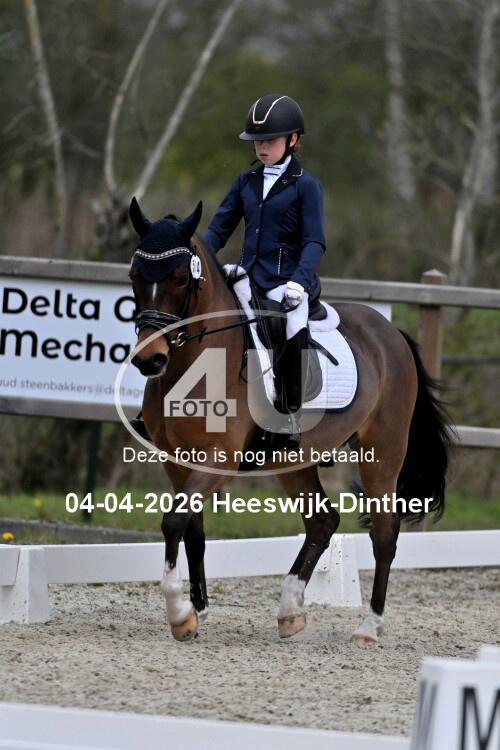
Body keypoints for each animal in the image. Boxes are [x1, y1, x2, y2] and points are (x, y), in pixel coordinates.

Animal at [128, 197, 452, 645]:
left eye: (179, 278)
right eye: (135, 276)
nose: (150, 359)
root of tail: (390, 333)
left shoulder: (217, 459)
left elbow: (174, 520)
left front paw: (179, 614)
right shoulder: (176, 461)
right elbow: (191, 529)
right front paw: (197, 610)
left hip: (382, 453)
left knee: (384, 533)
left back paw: (368, 627)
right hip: (292, 461)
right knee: (322, 522)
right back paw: (290, 611)